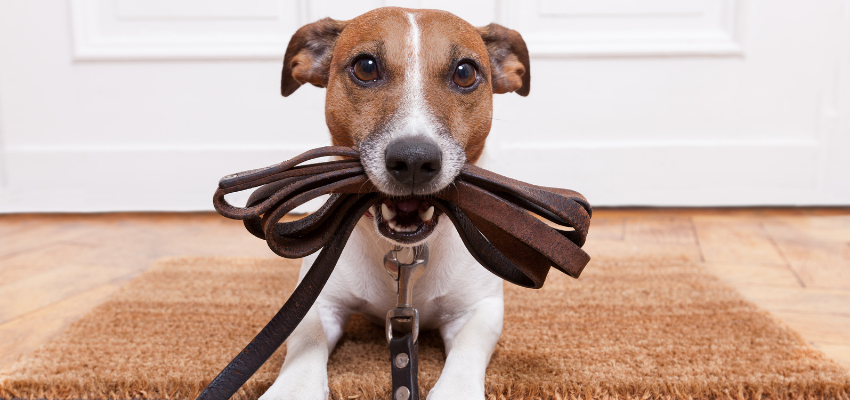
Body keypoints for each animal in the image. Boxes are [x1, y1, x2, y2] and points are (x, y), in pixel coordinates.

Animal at [262, 7, 528, 400]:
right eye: (366, 66)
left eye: (465, 72)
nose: (414, 160)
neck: (405, 254)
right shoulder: (318, 300)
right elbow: (306, 339)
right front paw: (293, 388)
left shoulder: (480, 309)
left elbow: (467, 354)